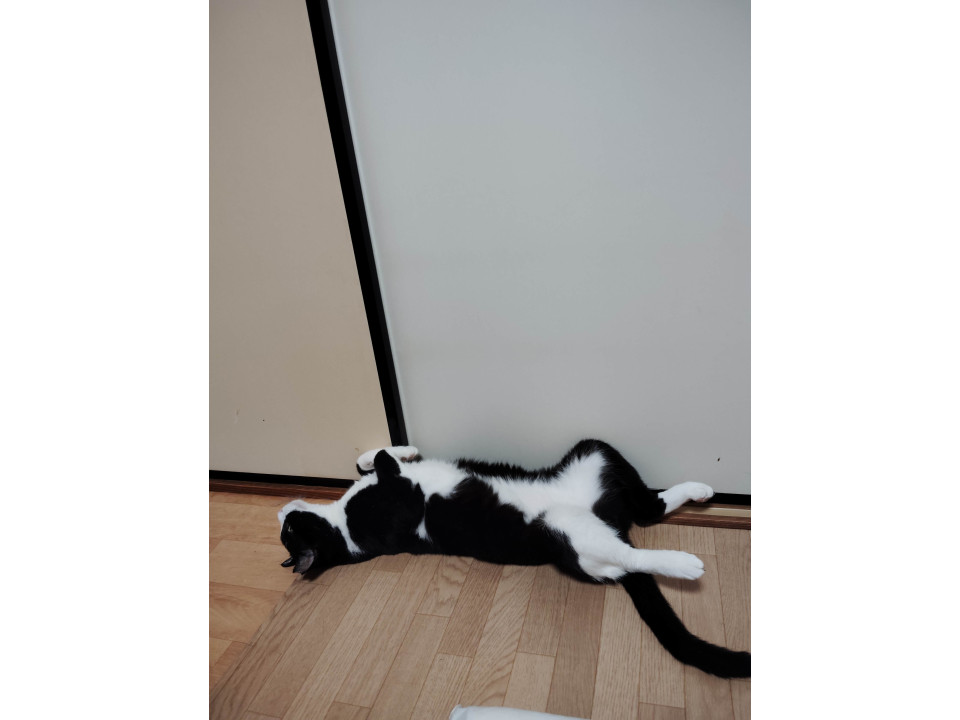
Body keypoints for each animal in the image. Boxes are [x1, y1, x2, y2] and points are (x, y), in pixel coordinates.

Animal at [278, 439, 750, 678]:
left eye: (287, 532)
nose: (280, 514)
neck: (340, 522)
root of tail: (607, 519)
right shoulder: (401, 505)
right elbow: (382, 467)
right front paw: (393, 456)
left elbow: (369, 459)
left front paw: (402, 448)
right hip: (569, 534)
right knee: (629, 553)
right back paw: (685, 564)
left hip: (594, 450)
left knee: (648, 507)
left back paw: (700, 490)